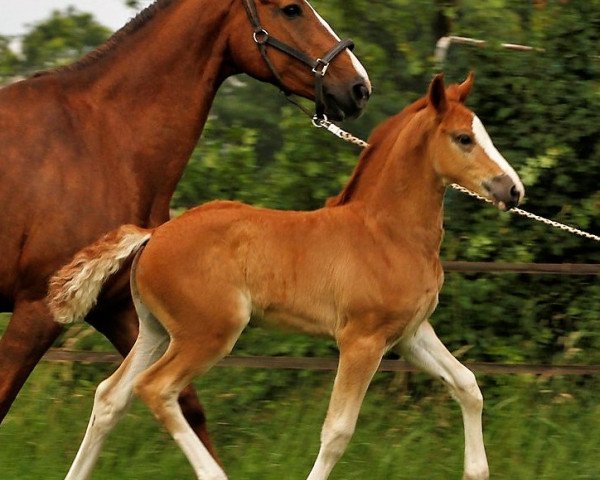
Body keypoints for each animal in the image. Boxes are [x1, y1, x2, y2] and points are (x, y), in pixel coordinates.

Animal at [49, 73, 524, 478]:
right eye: (464, 138)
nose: (513, 190)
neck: (386, 232)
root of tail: (153, 234)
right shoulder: (362, 341)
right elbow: (337, 431)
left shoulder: (410, 334)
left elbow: (467, 385)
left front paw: (476, 471)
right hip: (208, 333)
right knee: (155, 389)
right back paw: (213, 473)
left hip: (155, 332)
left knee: (110, 396)